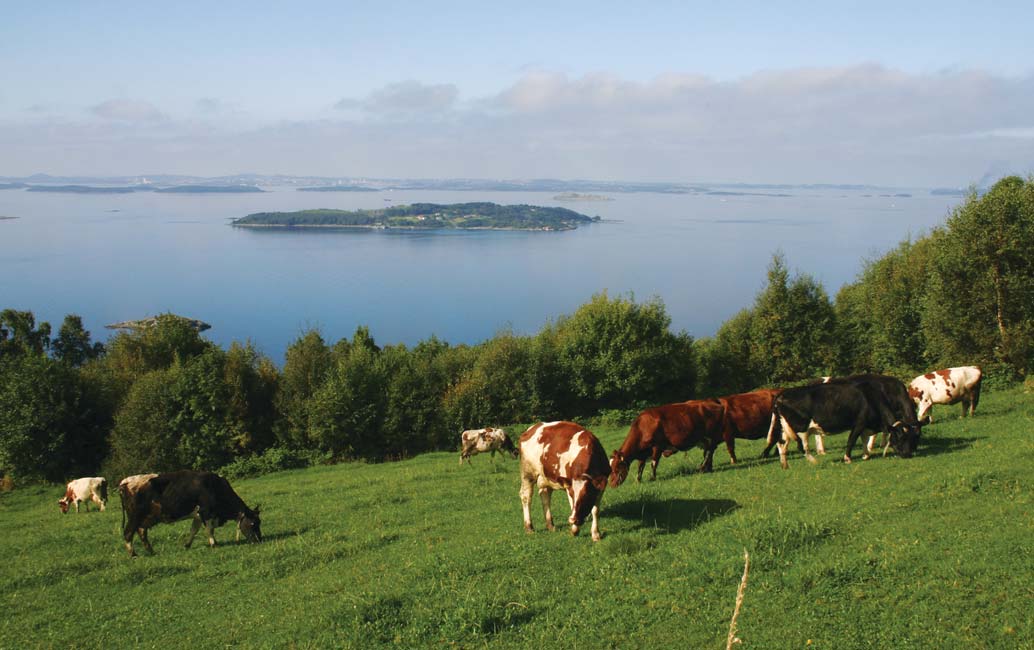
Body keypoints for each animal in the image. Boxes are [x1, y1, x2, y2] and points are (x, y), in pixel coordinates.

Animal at [118, 469, 262, 553]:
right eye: (253, 524)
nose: (259, 540)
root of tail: (124, 482)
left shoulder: (198, 516)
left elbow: (194, 530)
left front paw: (187, 545)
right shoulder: (206, 512)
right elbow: (209, 530)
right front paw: (214, 544)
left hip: (146, 518)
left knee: (142, 532)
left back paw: (151, 552)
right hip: (134, 516)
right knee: (128, 532)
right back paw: (133, 554)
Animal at [769, 380, 922, 467]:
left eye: (911, 437)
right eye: (900, 438)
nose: (908, 454)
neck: (870, 397)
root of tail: (782, 394)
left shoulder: (866, 426)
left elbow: (864, 440)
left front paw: (866, 455)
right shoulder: (859, 423)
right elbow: (852, 440)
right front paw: (848, 458)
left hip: (785, 428)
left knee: (782, 444)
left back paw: (784, 465)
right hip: (801, 429)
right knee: (803, 448)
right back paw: (814, 461)